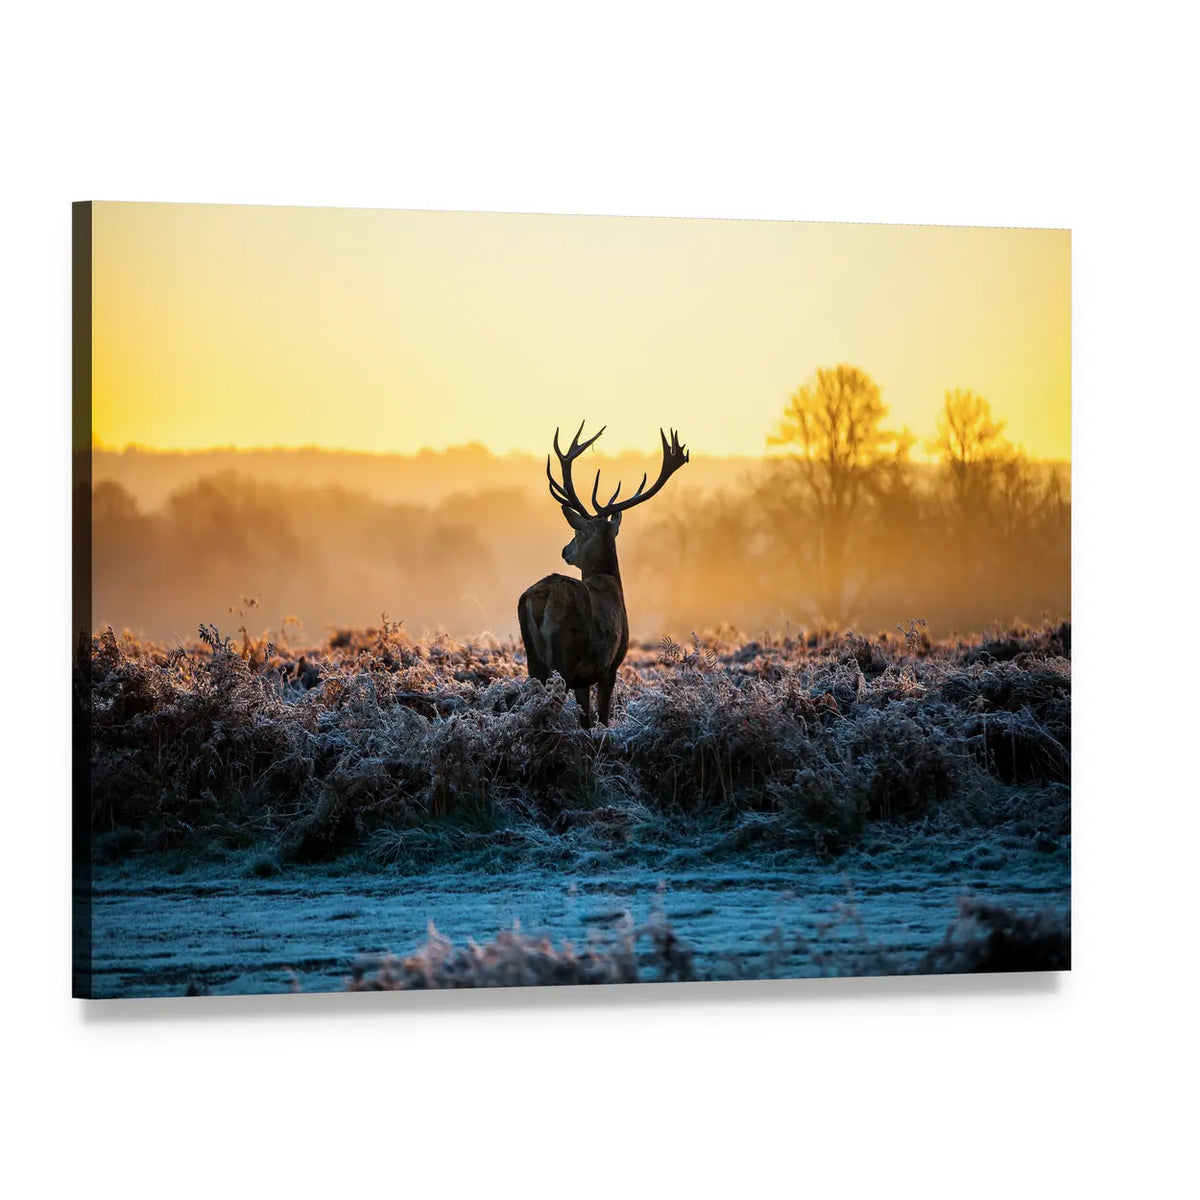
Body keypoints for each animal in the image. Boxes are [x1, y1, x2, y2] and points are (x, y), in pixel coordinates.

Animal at [518, 422, 689, 728]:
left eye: (576, 533)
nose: (565, 551)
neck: (611, 581)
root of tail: (540, 598)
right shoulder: (610, 665)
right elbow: (603, 718)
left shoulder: (585, 679)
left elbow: (587, 719)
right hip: (564, 655)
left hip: (533, 659)